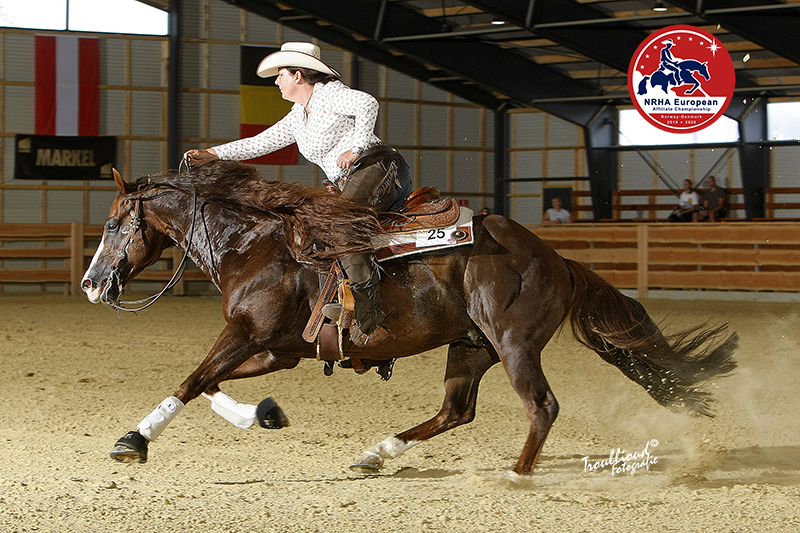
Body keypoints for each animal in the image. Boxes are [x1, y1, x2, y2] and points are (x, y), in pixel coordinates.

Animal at [81, 161, 736, 474]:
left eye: (113, 224)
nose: (90, 283)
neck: (252, 244)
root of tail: (556, 258)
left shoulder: (247, 335)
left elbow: (193, 378)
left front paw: (132, 441)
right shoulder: (275, 349)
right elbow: (210, 384)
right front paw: (262, 414)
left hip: (514, 343)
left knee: (541, 406)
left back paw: (516, 474)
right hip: (470, 345)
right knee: (456, 410)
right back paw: (377, 453)